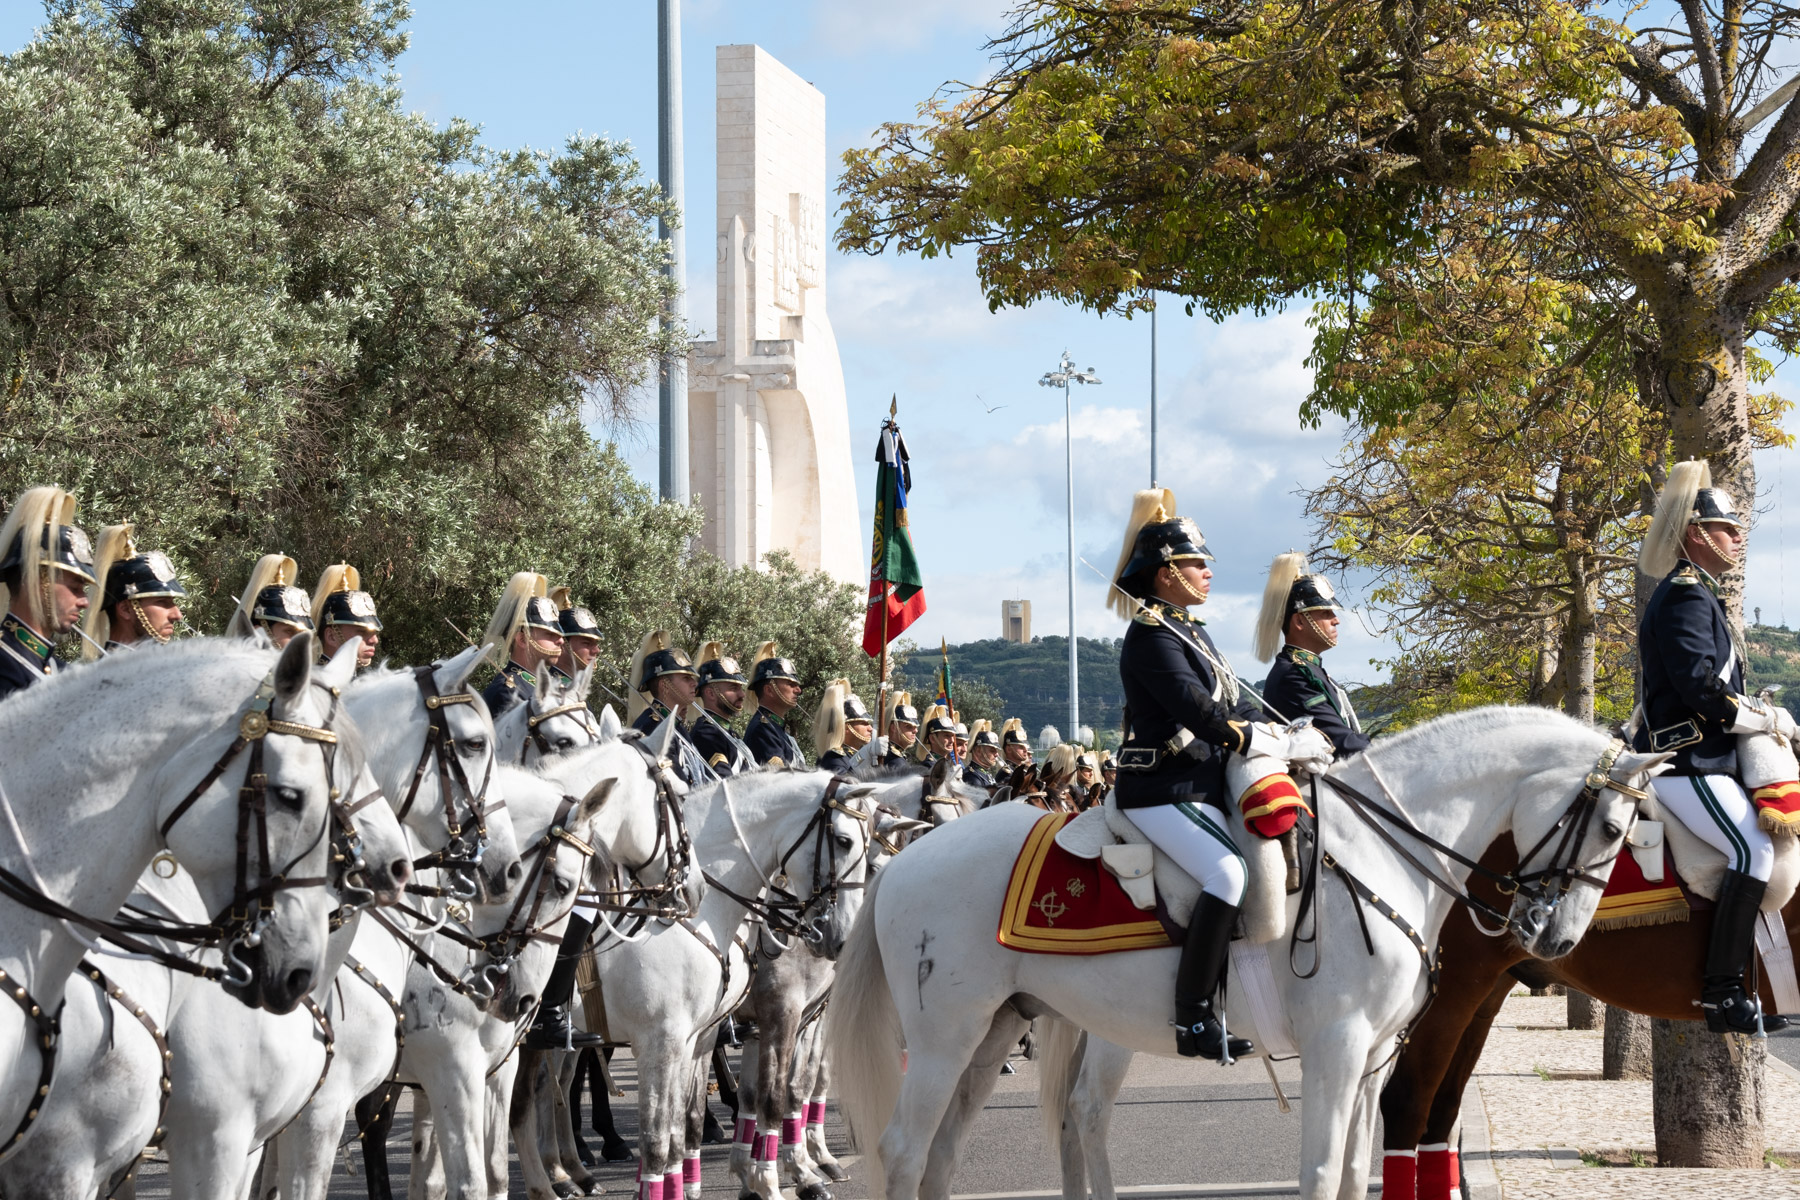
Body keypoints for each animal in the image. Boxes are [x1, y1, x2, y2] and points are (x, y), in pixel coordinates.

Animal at [825, 707, 1669, 1200]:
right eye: (1613, 828)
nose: (1556, 939)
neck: (1379, 852)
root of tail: (904, 859)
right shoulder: (1336, 1050)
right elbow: (1320, 1172)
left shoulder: (1369, 1059)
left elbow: (1354, 1171)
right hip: (946, 1038)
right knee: (905, 1150)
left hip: (998, 1028)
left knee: (954, 1151)